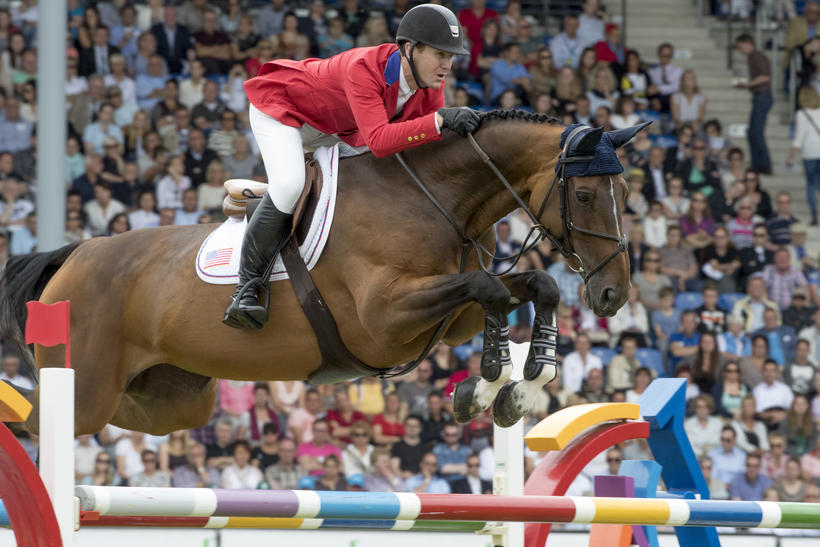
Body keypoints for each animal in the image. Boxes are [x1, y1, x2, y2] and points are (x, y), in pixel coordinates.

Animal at [0, 113, 636, 438]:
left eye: (625, 192)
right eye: (584, 195)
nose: (612, 294)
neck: (435, 199)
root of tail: (73, 256)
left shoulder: (444, 318)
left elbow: (529, 287)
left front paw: (516, 388)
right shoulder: (384, 318)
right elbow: (492, 290)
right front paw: (487, 380)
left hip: (170, 400)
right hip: (91, 387)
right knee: (46, 418)